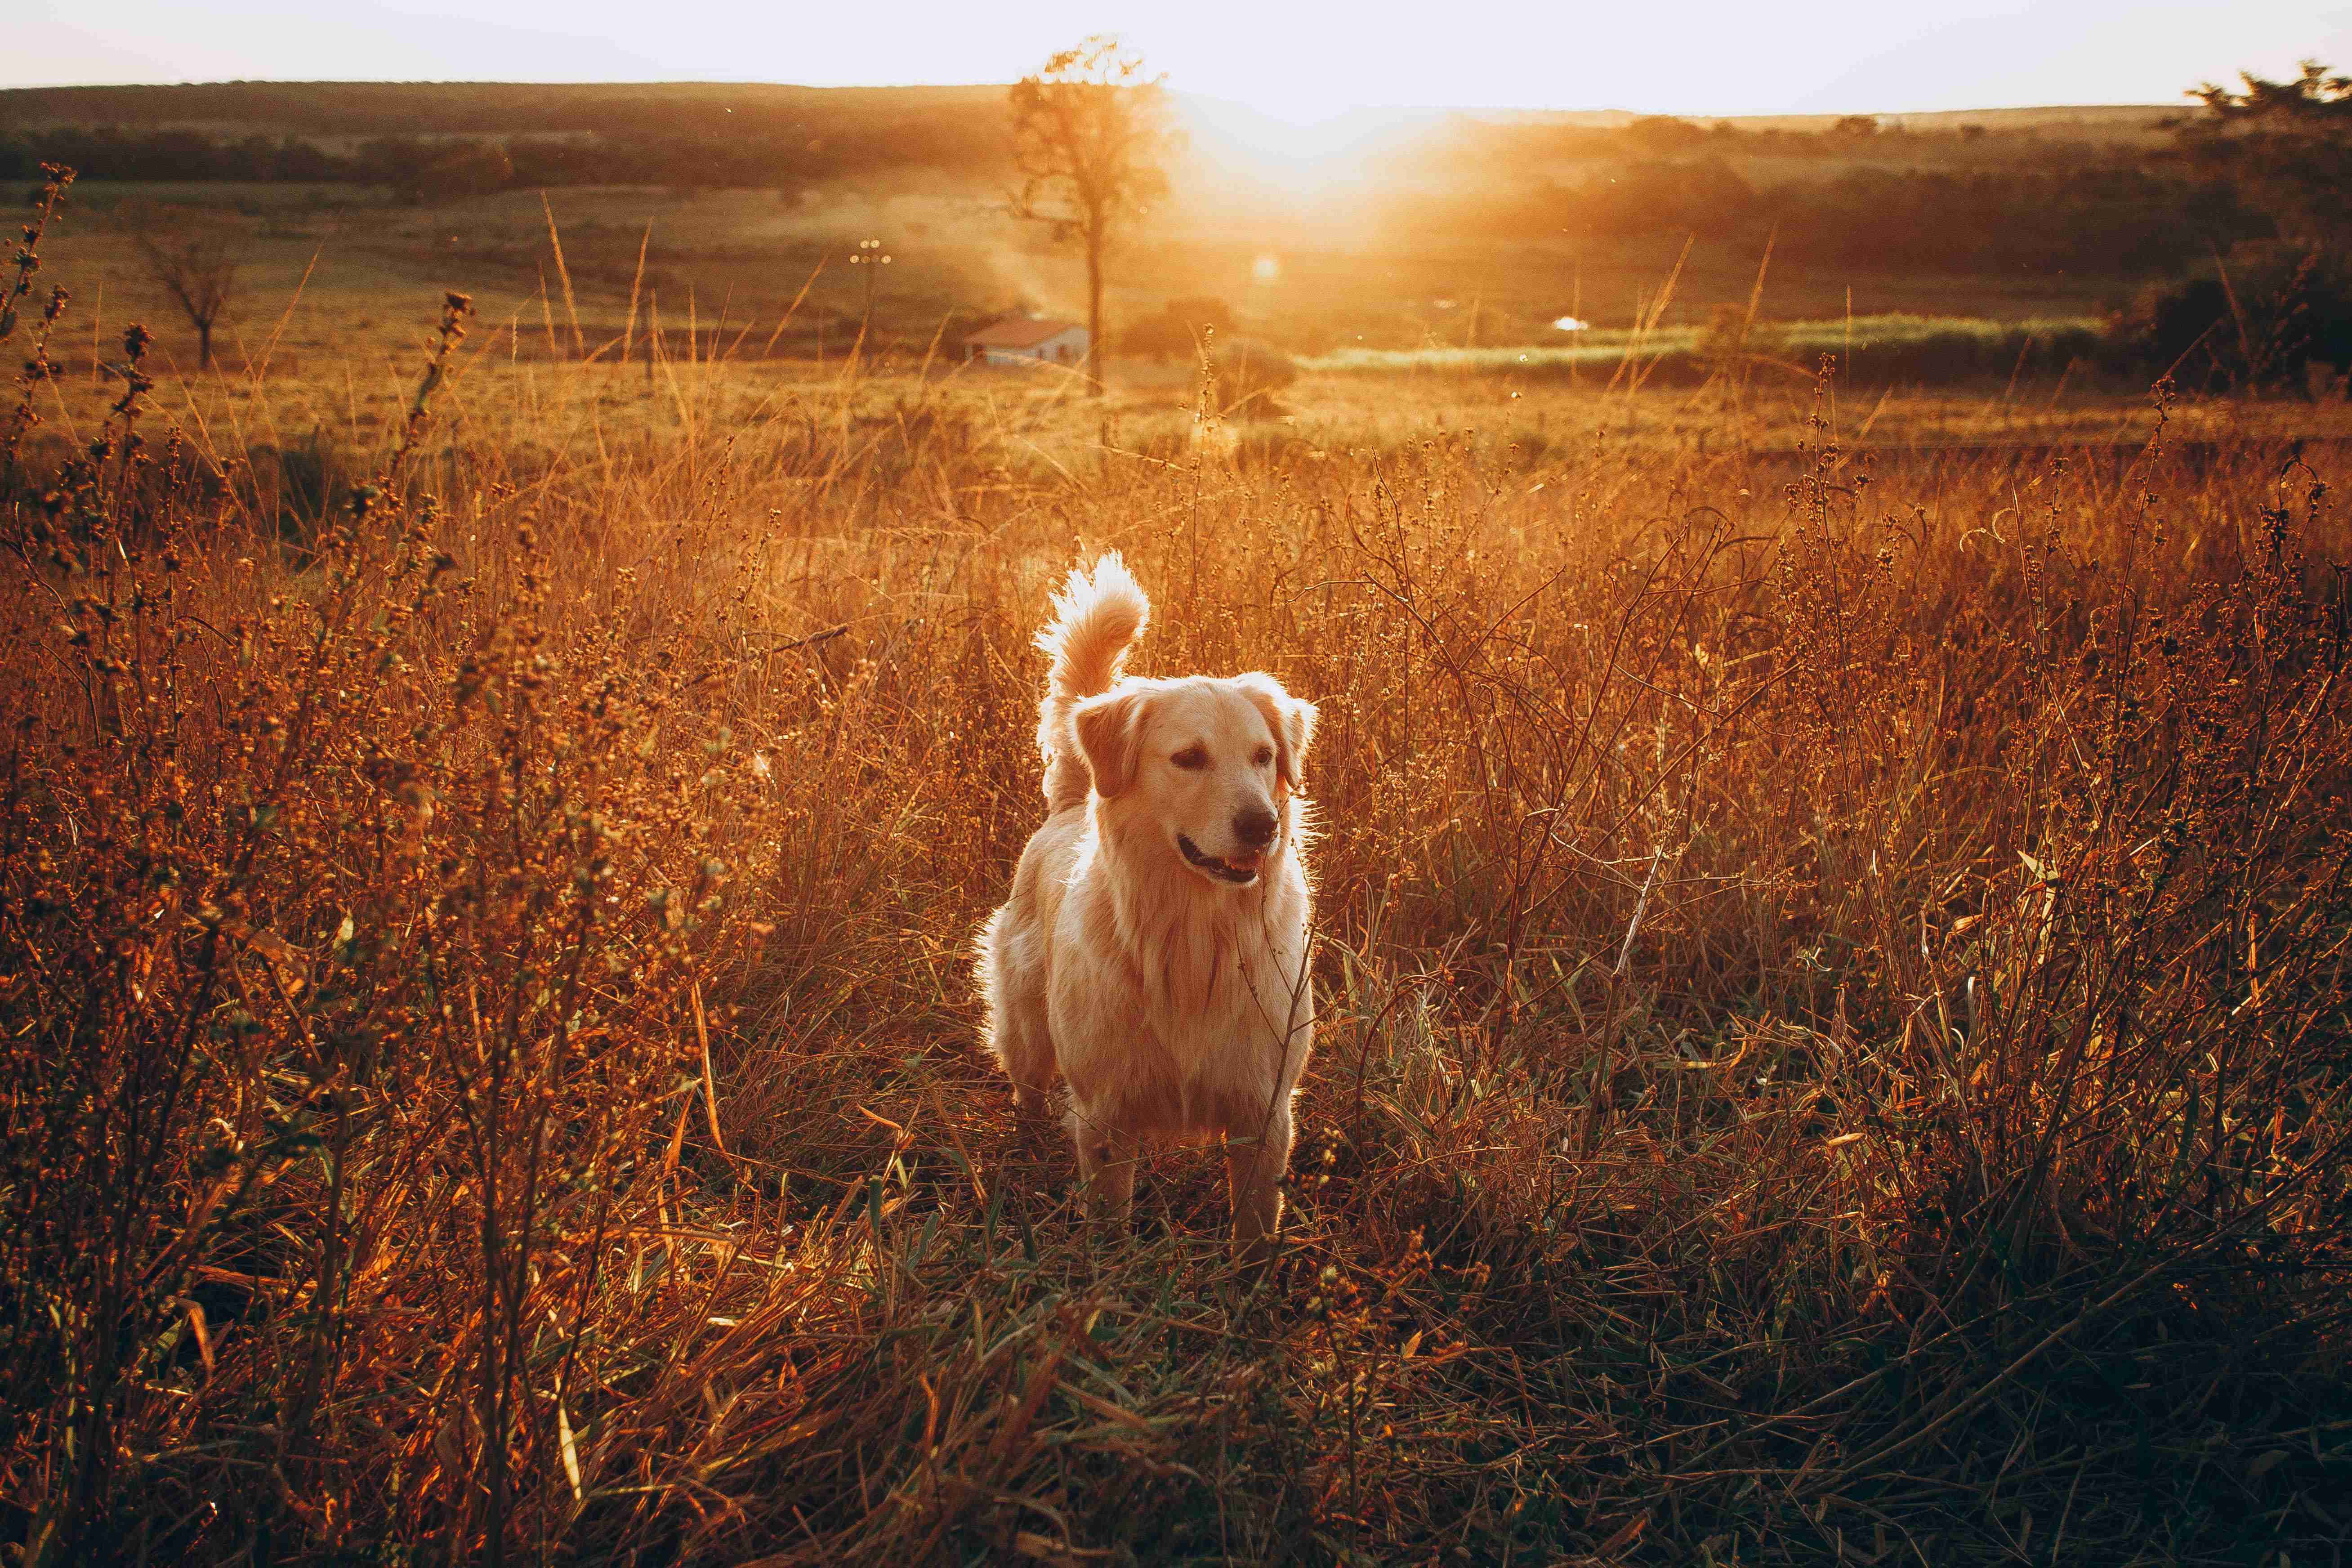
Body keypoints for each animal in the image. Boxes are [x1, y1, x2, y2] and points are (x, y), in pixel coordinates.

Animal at [969, 554, 1317, 1260]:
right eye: (1188, 758)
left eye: (1264, 756)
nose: (1262, 826)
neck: (1194, 936)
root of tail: (1071, 803)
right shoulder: (1105, 1112)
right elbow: (1107, 1220)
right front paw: (1109, 1270)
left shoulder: (1265, 1110)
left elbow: (1254, 1223)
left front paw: (1252, 1277)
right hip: (1026, 1031)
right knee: (1026, 1092)